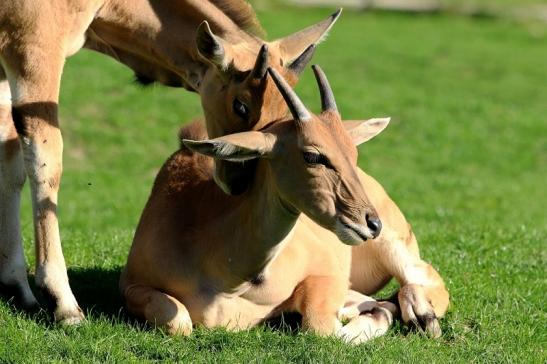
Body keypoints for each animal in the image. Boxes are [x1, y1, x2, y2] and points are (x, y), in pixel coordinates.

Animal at [1, 0, 342, 324]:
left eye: (285, 112)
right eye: (241, 105)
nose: (240, 182)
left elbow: (11, 164)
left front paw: (17, 287)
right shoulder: (34, 49)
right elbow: (46, 160)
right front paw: (63, 303)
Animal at [119, 67, 398, 342]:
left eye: (353, 153)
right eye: (312, 155)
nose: (372, 223)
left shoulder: (325, 272)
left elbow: (322, 327)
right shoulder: (132, 283)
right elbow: (179, 322)